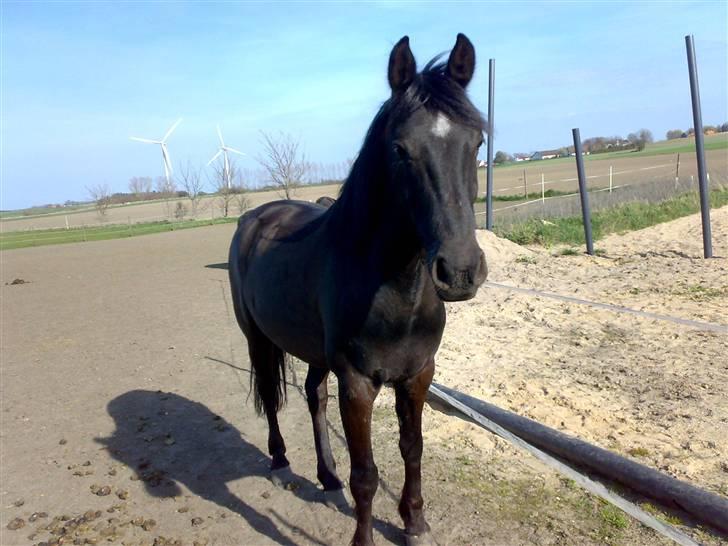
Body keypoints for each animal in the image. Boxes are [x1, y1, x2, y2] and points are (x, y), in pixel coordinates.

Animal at [230, 35, 486, 544]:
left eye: (477, 143)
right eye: (400, 148)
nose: (460, 271)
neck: (396, 292)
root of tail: (254, 218)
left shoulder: (417, 375)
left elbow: (412, 449)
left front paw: (415, 523)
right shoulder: (358, 383)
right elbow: (366, 473)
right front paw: (365, 536)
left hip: (312, 351)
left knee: (314, 396)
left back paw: (327, 477)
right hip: (259, 340)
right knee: (270, 393)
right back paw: (280, 459)